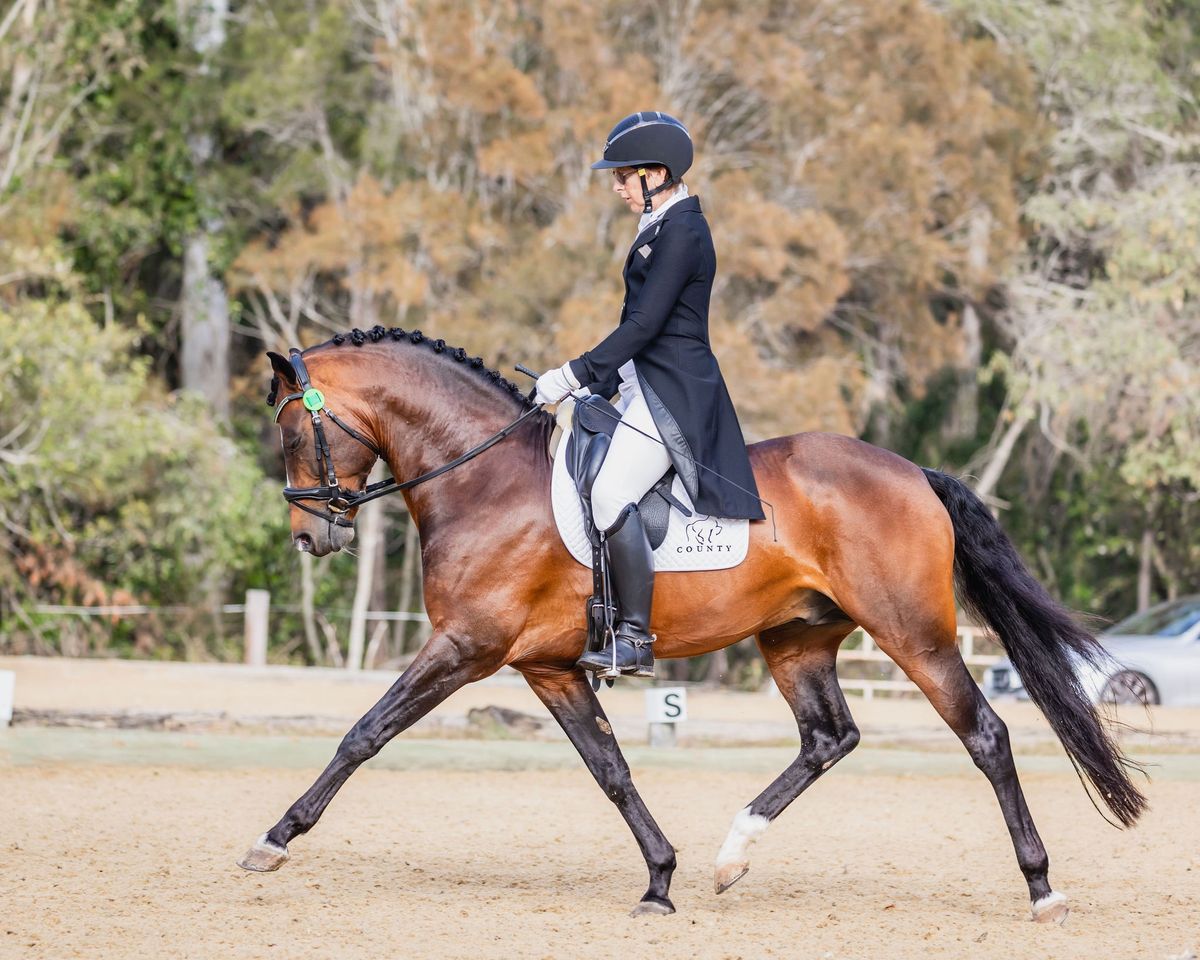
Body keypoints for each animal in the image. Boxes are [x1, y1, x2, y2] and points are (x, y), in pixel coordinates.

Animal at [241, 328, 1142, 921]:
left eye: (289, 430)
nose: (311, 537)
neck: (485, 479)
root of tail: (912, 471)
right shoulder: (548, 668)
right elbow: (611, 771)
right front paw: (660, 880)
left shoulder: (466, 646)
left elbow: (364, 732)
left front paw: (275, 839)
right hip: (796, 638)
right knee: (829, 738)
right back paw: (729, 857)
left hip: (912, 633)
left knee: (985, 734)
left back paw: (1042, 887)